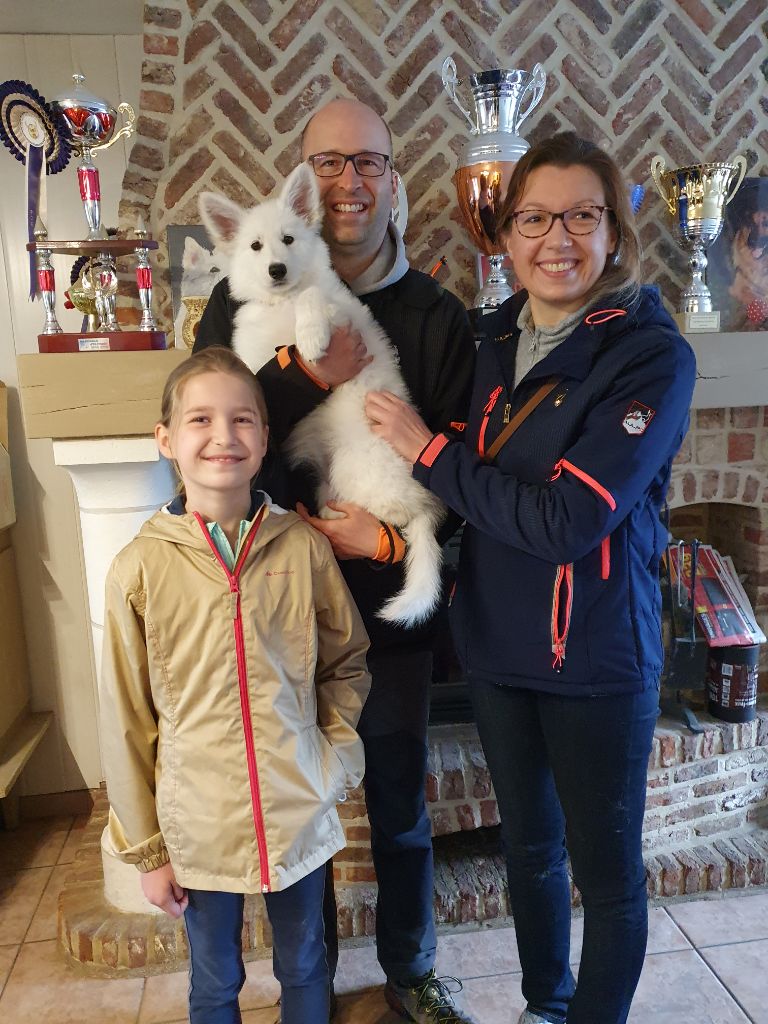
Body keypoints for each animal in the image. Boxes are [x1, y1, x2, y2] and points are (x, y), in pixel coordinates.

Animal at [198, 164, 444, 626]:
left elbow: (313, 297)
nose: (276, 270)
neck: (281, 301)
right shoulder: (252, 343)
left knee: (392, 517)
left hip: (354, 467)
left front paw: (310, 339)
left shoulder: (342, 313)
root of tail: (424, 505)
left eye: (290, 240)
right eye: (255, 246)